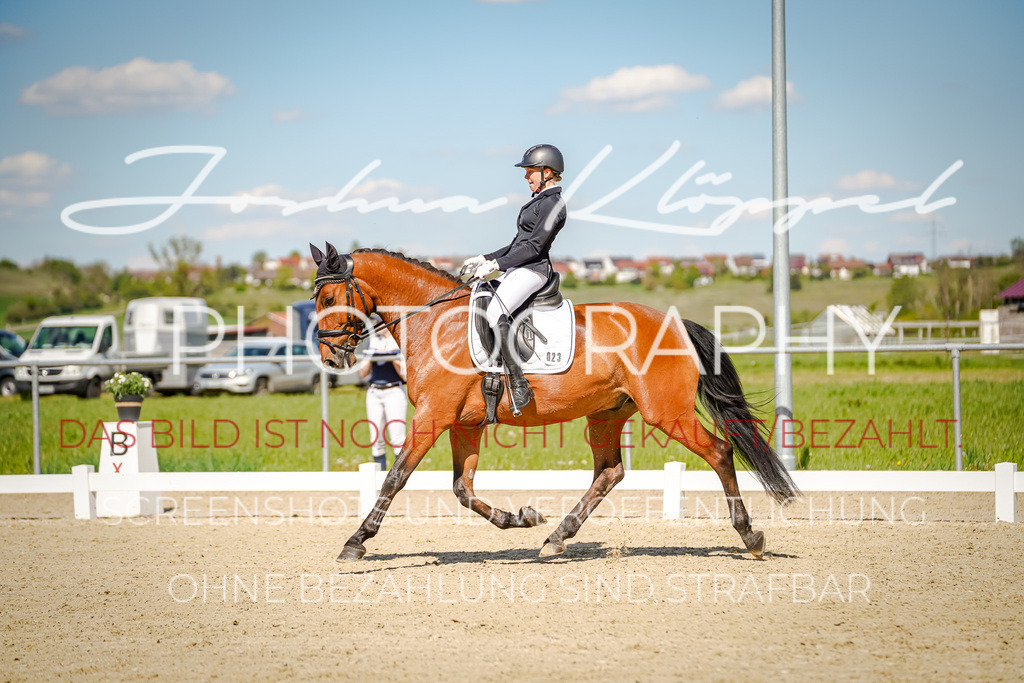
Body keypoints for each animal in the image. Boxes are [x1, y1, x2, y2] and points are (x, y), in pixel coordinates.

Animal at [307, 244, 794, 561]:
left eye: (329, 298)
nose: (331, 358)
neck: (435, 321)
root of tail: (675, 324)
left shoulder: (433, 417)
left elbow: (395, 478)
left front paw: (356, 541)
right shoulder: (463, 423)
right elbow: (463, 490)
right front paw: (522, 518)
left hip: (666, 413)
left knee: (719, 452)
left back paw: (750, 537)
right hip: (606, 414)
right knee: (609, 473)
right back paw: (557, 537)